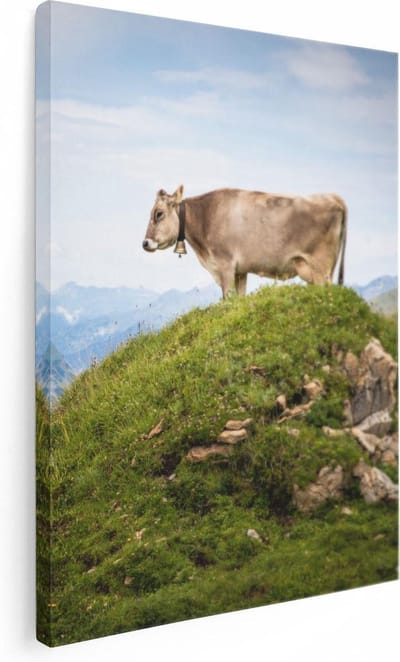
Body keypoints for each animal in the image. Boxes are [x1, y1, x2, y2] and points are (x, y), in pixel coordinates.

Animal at [142, 186, 347, 298]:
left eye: (158, 214)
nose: (145, 243)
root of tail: (333, 197)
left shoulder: (225, 265)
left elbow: (227, 299)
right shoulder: (240, 271)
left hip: (321, 267)